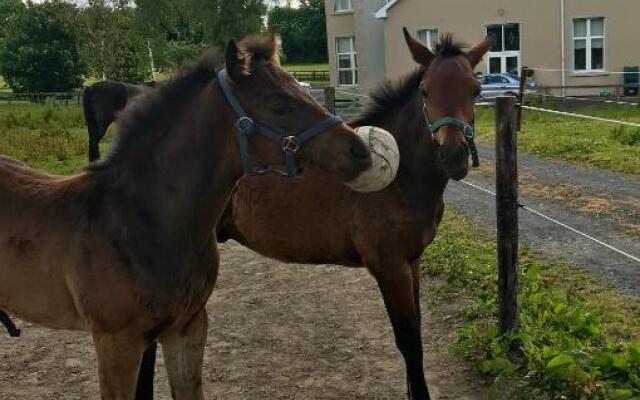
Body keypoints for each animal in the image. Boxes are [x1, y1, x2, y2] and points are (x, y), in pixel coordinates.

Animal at [0, 35, 370, 400]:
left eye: (304, 91)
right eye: (279, 105)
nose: (360, 151)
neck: (143, 223)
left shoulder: (187, 328)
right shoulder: (115, 342)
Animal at [138, 28, 492, 400]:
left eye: (475, 90)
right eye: (425, 90)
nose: (453, 156)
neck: (401, 175)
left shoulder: (412, 261)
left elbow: (417, 331)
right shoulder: (389, 265)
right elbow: (409, 341)